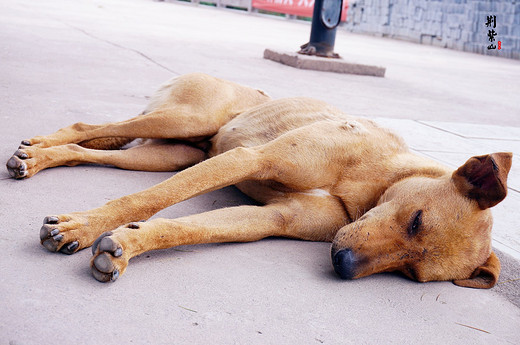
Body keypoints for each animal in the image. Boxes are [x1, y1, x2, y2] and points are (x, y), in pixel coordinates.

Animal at [7, 74, 512, 286]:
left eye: (411, 273)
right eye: (416, 220)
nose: (344, 265)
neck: (373, 181)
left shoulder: (271, 219)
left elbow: (183, 226)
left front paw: (127, 246)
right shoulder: (250, 159)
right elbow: (147, 202)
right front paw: (85, 225)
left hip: (170, 153)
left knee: (87, 149)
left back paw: (39, 157)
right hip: (185, 119)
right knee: (86, 128)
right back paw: (38, 149)